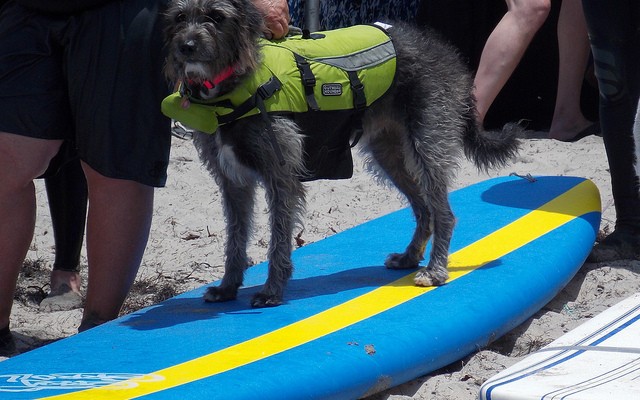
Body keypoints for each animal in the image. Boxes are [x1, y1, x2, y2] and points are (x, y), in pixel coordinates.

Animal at [164, 0, 520, 307]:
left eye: (217, 16)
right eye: (180, 17)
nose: (186, 47)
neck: (234, 86)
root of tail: (444, 51)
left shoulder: (281, 176)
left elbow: (278, 238)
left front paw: (272, 291)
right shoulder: (233, 182)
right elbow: (235, 239)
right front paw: (227, 288)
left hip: (427, 146)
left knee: (443, 212)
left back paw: (434, 270)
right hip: (389, 153)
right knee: (424, 208)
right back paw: (409, 256)